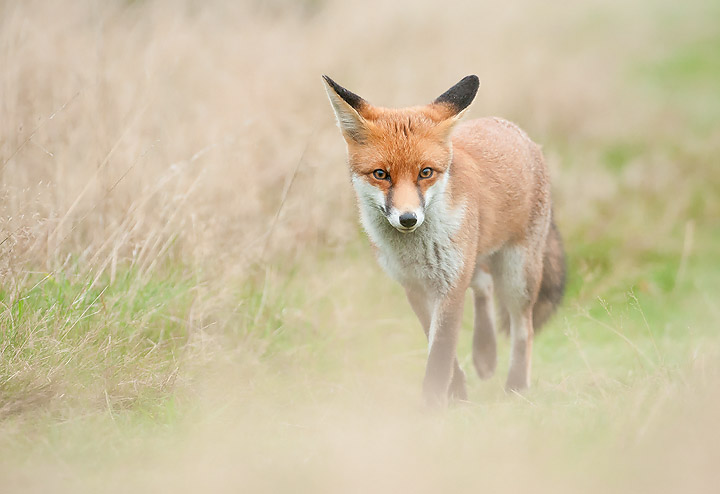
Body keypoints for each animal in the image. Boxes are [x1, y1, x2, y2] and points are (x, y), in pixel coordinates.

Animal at [322, 74, 566, 406]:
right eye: (381, 174)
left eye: (425, 172)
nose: (408, 219)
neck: (415, 251)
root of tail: (518, 132)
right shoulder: (414, 286)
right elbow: (437, 345)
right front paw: (457, 392)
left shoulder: (450, 284)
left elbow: (440, 353)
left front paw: (432, 406)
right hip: (474, 263)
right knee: (484, 286)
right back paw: (485, 354)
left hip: (516, 276)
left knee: (523, 328)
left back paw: (516, 385)